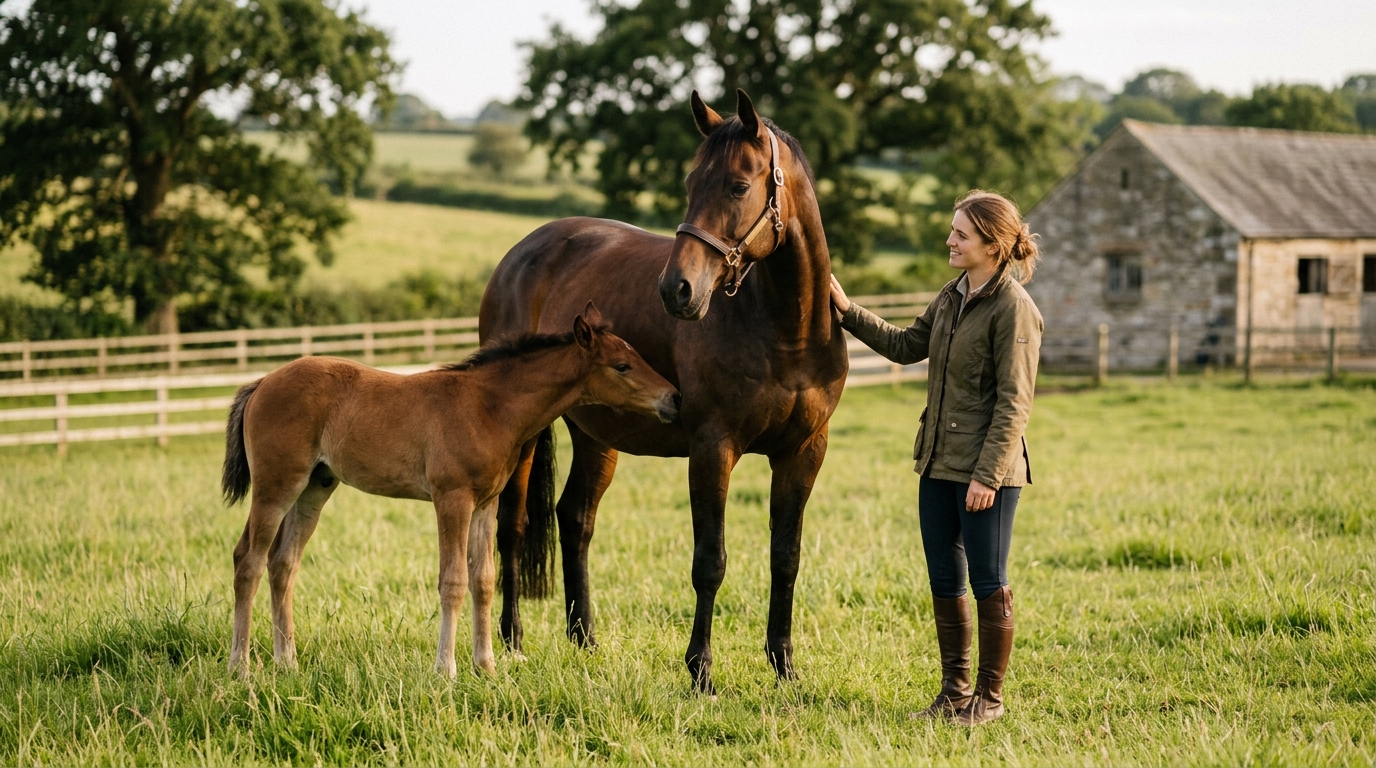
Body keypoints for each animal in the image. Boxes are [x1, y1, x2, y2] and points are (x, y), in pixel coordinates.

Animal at [220, 304, 679, 677]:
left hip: (315, 488)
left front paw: (487, 665)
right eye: (622, 365)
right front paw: (447, 669)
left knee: (283, 563)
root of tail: (261, 383)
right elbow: (454, 581)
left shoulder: (485, 504)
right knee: (248, 560)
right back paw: (241, 667)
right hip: (276, 486)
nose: (674, 399)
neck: (488, 406)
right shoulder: (452, 499)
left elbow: (485, 580)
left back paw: (287, 662)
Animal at [480, 90, 847, 693]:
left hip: (596, 433)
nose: (677, 290)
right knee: (511, 525)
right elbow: (710, 561)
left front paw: (784, 666)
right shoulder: (712, 448)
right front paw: (701, 672)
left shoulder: (803, 452)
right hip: (527, 433)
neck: (786, 330)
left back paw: (584, 639)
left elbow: (786, 558)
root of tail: (520, 254)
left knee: (574, 518)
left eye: (738, 186)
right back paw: (512, 640)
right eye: (690, 182)